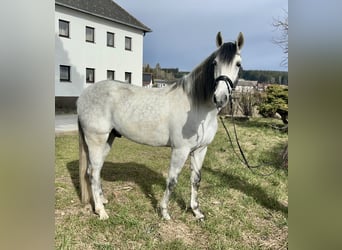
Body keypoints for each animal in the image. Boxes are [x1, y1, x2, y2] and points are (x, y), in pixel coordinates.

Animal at [77, 31, 243, 221]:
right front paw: (164, 212)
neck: (196, 106)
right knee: (93, 172)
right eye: (215, 63)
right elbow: (172, 180)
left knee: (95, 170)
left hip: (108, 139)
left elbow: (196, 180)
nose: (220, 98)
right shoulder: (180, 150)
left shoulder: (201, 150)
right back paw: (101, 211)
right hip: (96, 140)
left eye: (238, 64)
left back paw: (102, 200)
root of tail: (82, 96)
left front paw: (196, 211)